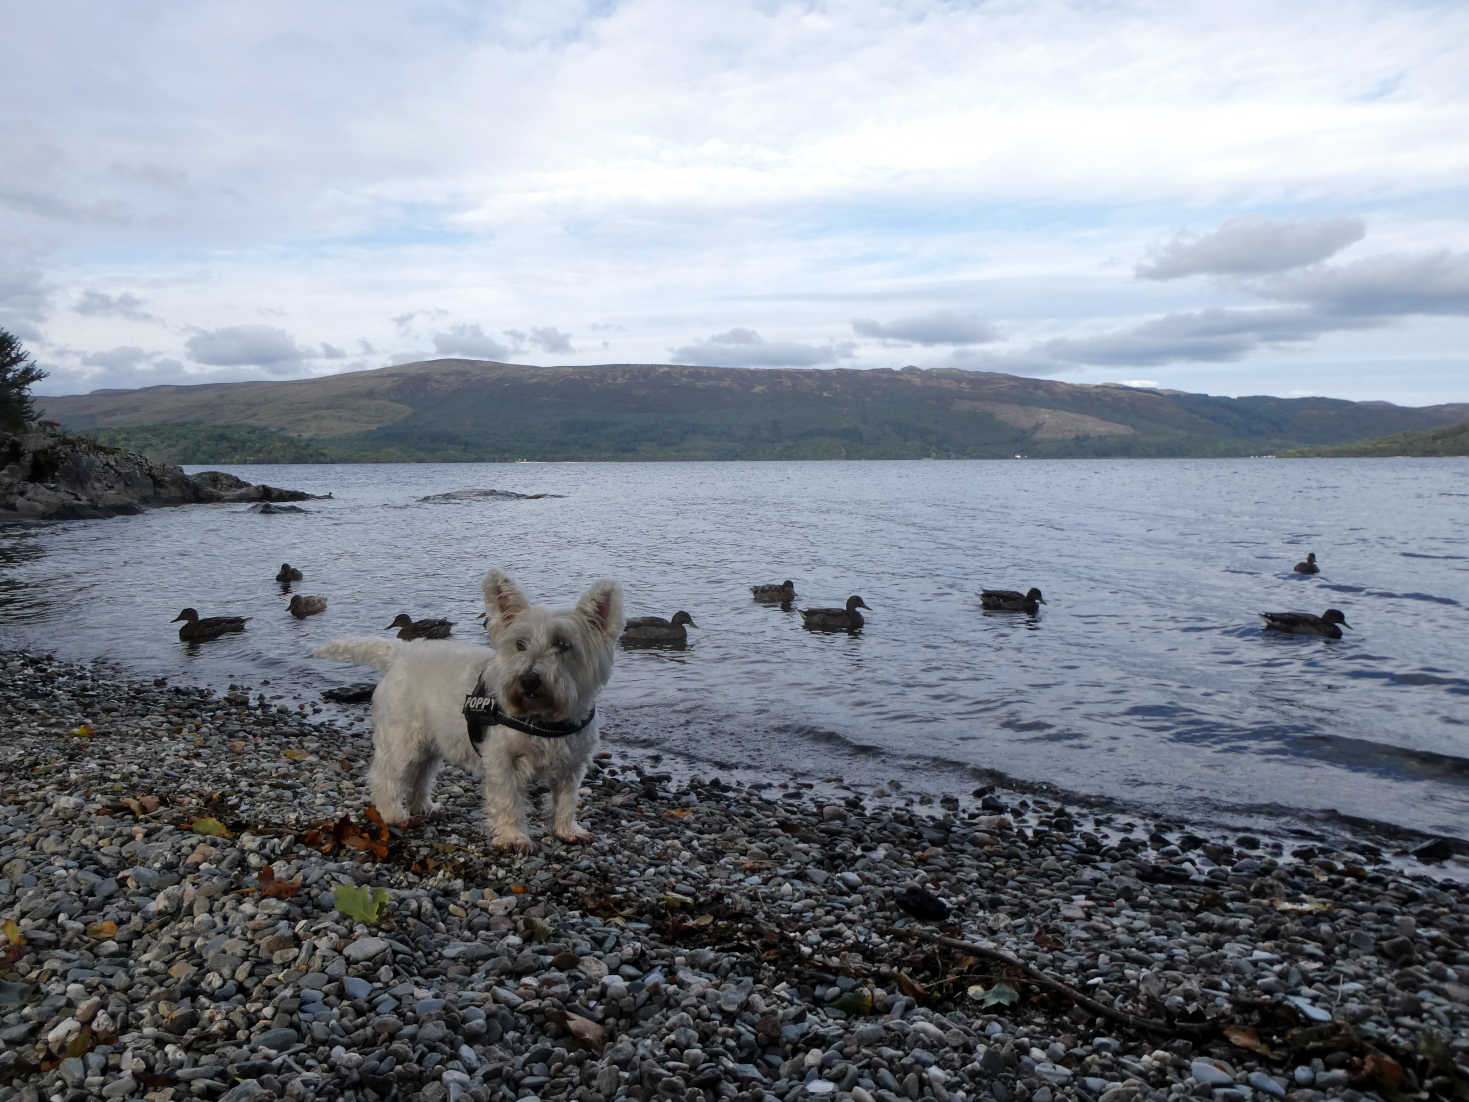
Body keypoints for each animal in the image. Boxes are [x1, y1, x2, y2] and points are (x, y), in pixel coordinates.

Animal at [318, 570, 622, 852]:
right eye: (520, 644)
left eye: (562, 644)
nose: (528, 680)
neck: (542, 720)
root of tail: (402, 653)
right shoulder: (502, 761)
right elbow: (508, 800)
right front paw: (513, 838)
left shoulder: (572, 764)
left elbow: (566, 801)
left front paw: (568, 830)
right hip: (401, 740)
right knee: (386, 777)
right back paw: (395, 815)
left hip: (429, 744)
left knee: (420, 775)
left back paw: (424, 807)